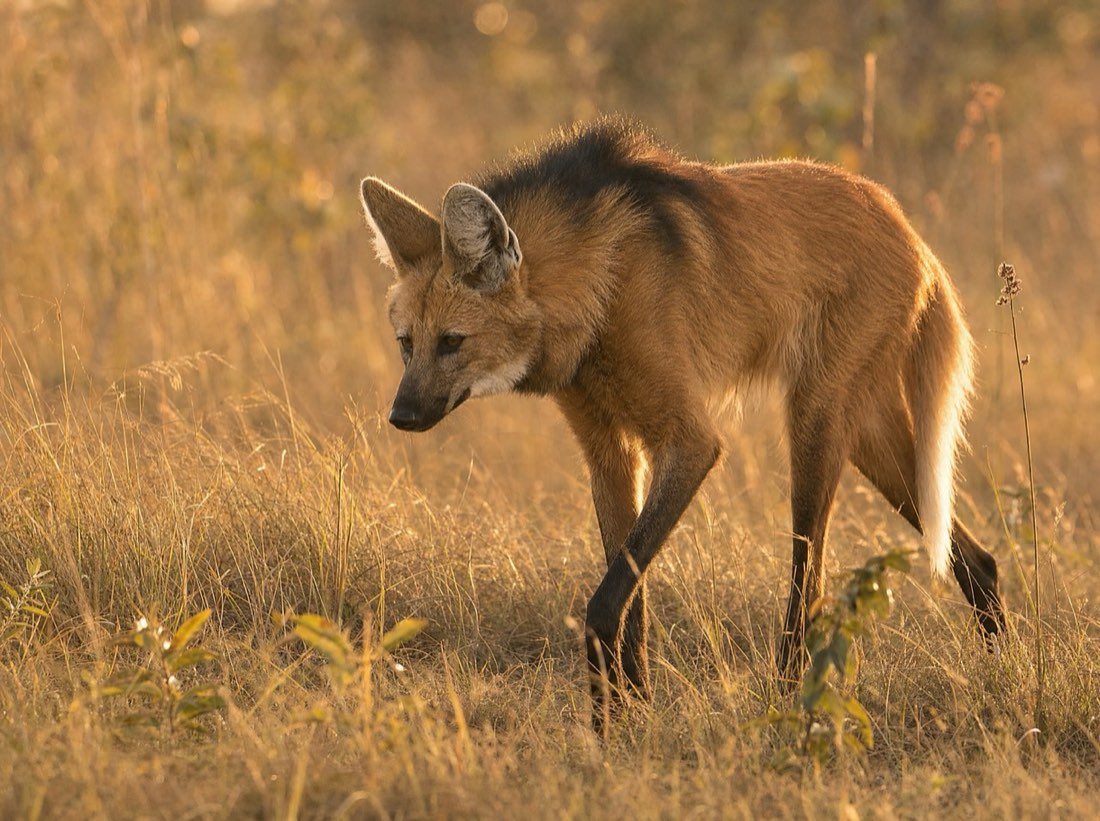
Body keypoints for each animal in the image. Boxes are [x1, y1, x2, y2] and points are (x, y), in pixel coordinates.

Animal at [359, 118, 1004, 732]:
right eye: (406, 344)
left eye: (452, 342)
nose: (401, 416)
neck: (599, 288)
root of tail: (906, 225)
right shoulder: (611, 451)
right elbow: (631, 594)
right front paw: (632, 717)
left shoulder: (690, 443)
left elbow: (607, 601)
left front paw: (610, 723)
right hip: (866, 435)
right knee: (977, 560)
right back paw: (1001, 669)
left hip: (813, 425)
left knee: (811, 581)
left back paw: (785, 701)